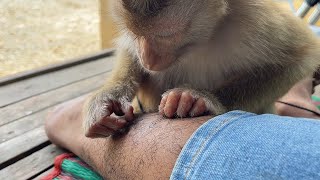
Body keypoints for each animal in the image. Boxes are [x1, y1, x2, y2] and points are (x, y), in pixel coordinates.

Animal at [82, 0, 320, 138]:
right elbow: (128, 48)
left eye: (165, 36)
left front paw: (199, 98)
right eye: (136, 34)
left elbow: (301, 57)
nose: (147, 61)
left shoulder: (256, 16)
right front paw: (107, 100)